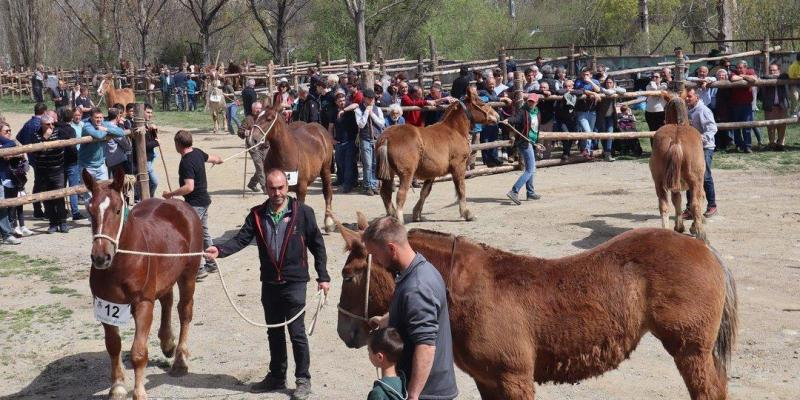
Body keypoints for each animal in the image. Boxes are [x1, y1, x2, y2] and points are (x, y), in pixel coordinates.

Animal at [83, 168, 203, 400]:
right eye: (89, 211)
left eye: (117, 210)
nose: (101, 257)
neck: (123, 262)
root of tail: (178, 204)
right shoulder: (105, 305)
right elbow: (113, 345)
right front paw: (117, 385)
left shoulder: (143, 304)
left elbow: (139, 352)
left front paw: (138, 392)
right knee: (167, 301)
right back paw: (167, 342)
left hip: (188, 275)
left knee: (184, 311)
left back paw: (180, 359)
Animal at [247, 99, 334, 231]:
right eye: (256, 117)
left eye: (269, 118)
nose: (253, 140)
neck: (286, 155)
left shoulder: (302, 188)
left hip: (325, 169)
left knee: (327, 192)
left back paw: (329, 222)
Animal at [336, 217, 736, 398]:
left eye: (350, 275)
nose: (345, 332)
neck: (468, 292)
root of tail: (703, 248)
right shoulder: (487, 380)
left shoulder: (515, 378)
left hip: (690, 349)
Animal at [376, 87, 500, 223]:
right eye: (481, 103)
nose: (497, 116)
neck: (454, 130)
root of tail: (387, 138)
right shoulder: (459, 166)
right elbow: (461, 189)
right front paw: (467, 213)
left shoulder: (432, 173)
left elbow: (425, 192)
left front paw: (417, 214)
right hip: (406, 173)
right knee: (400, 194)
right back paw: (399, 220)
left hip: (388, 174)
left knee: (385, 193)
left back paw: (391, 217)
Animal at [648, 95, 708, 242]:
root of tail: (676, 140)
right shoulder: (696, 184)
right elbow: (695, 201)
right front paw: (692, 227)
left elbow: (677, 201)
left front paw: (679, 227)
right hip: (696, 181)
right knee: (695, 204)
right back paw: (701, 235)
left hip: (659, 182)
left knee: (664, 205)